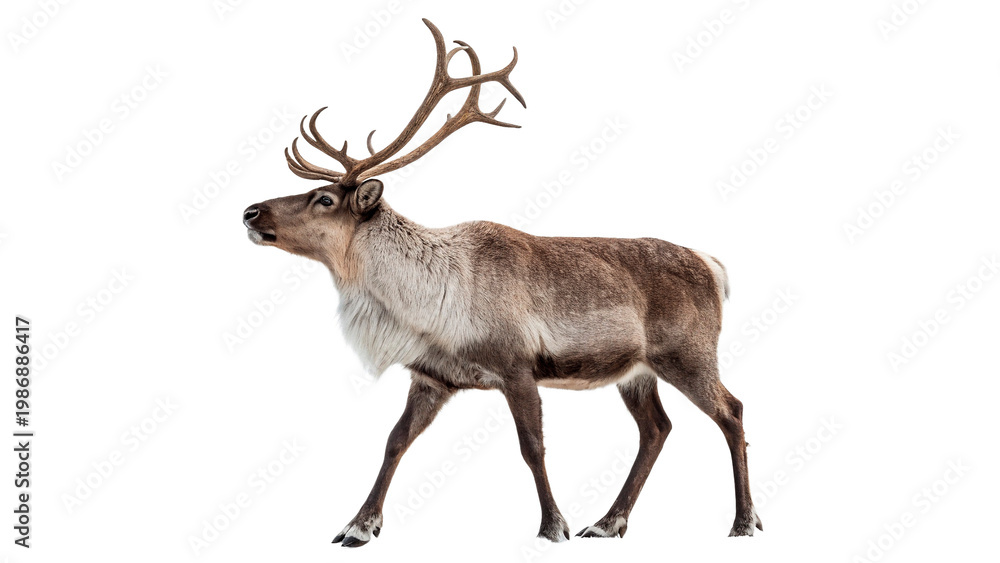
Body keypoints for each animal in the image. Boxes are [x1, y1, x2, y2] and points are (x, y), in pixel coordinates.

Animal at [242, 18, 762, 547]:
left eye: (324, 199)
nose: (250, 211)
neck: (426, 303)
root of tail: (713, 266)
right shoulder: (432, 376)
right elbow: (394, 441)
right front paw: (358, 526)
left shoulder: (517, 366)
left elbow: (532, 447)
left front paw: (553, 526)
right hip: (637, 371)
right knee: (657, 429)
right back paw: (608, 522)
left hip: (687, 353)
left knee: (733, 411)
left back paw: (743, 521)